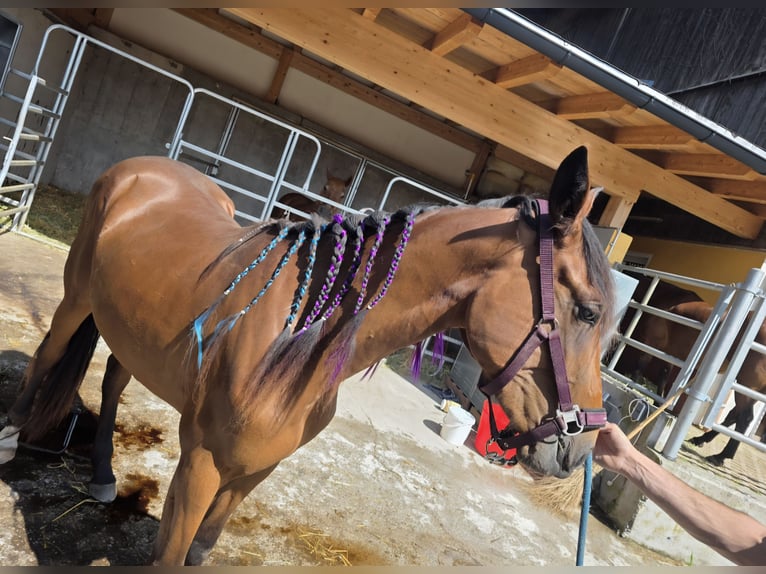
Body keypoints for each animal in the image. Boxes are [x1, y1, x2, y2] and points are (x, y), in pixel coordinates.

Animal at [0, 146, 615, 565]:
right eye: (588, 312)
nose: (580, 448)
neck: (295, 349)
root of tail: (144, 168)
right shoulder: (200, 467)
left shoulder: (254, 472)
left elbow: (199, 551)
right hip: (77, 298)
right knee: (47, 355)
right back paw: (11, 436)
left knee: (112, 382)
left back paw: (104, 473)